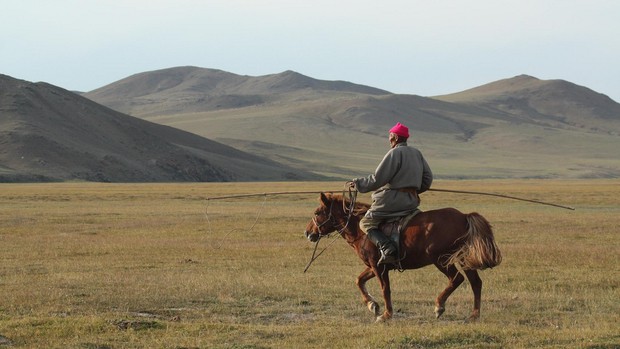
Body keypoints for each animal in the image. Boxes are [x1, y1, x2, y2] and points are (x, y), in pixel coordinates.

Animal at [302, 192, 502, 322]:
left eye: (317, 213)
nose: (308, 233)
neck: (361, 230)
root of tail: (464, 216)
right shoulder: (375, 266)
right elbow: (359, 280)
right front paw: (372, 305)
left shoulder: (379, 266)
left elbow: (385, 289)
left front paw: (386, 314)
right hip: (462, 258)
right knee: (475, 282)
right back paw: (474, 315)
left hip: (441, 259)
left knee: (457, 279)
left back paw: (439, 306)